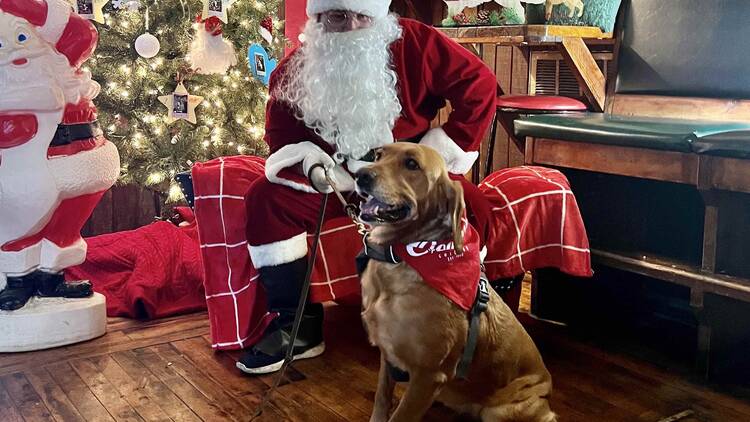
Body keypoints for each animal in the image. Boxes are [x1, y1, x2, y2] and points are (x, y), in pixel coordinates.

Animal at [356, 143, 556, 420]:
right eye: (378, 155)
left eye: (411, 164)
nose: (360, 175)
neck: (401, 258)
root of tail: (547, 396)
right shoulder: (388, 355)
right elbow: (381, 398)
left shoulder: (429, 376)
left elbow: (401, 415)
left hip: (500, 411)